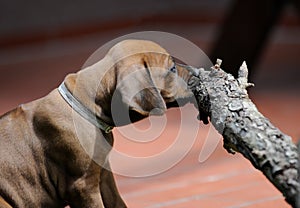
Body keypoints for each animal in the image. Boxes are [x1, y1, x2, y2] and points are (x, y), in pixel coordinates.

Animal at [0, 39, 195, 207]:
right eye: (172, 68)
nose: (195, 71)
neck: (85, 104)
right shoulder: (83, 186)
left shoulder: (105, 176)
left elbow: (118, 203)